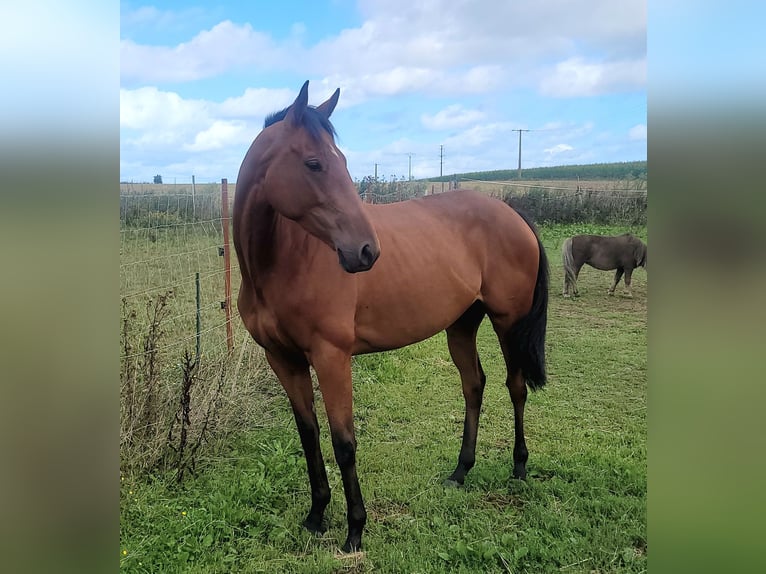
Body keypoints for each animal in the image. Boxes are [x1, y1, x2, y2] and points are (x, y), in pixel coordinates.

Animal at [234, 81, 552, 552]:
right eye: (314, 163)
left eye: (343, 161)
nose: (367, 251)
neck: (282, 263)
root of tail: (512, 213)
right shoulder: (283, 360)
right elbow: (309, 436)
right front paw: (315, 516)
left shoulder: (332, 358)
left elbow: (344, 442)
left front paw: (354, 531)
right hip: (461, 325)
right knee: (474, 385)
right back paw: (460, 472)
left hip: (507, 322)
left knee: (516, 388)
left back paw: (519, 467)